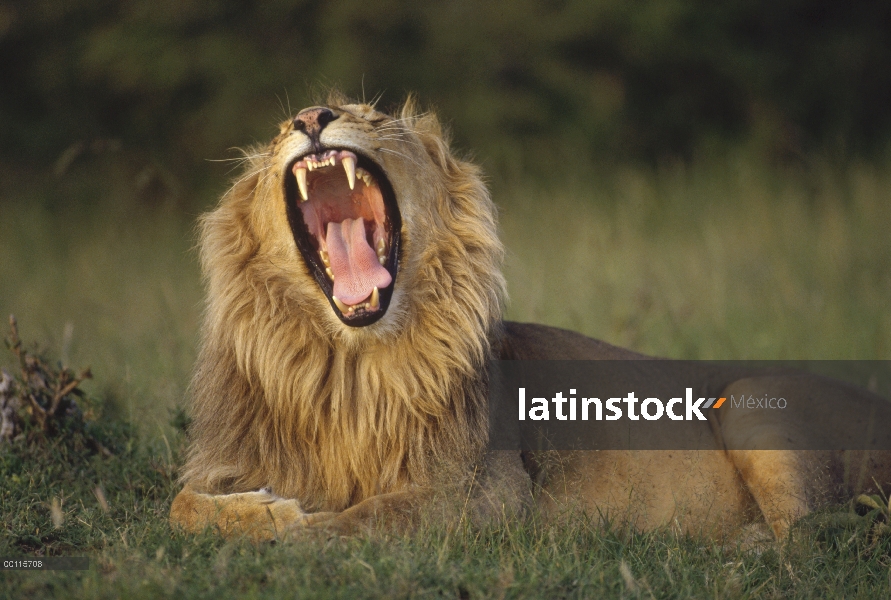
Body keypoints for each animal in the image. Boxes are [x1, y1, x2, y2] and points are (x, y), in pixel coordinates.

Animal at [169, 94, 891, 544]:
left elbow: (363, 520)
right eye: (277, 132)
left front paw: (288, 531)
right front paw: (264, 514)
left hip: (748, 400)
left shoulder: (482, 490)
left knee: (812, 547)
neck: (351, 367)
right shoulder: (220, 462)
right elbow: (179, 507)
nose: (311, 117)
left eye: (369, 116)